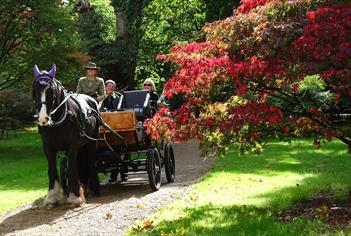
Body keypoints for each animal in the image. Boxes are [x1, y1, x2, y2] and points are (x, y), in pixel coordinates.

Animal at [32, 64, 100, 206]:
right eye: (35, 90)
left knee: (91, 162)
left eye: (51, 91)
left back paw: (93, 188)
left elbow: (72, 168)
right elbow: (52, 169)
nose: (42, 118)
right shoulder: (48, 147)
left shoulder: (72, 147)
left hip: (92, 141)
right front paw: (52, 196)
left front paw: (75, 196)